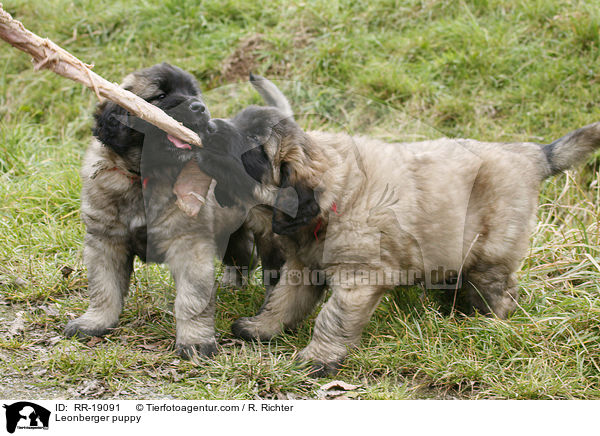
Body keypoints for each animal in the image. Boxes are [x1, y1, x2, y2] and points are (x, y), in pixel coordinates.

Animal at [62, 63, 282, 358]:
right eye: (161, 96)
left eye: (193, 93)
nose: (200, 107)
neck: (145, 176)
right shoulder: (105, 241)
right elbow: (104, 288)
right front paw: (95, 322)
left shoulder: (189, 244)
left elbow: (191, 299)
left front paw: (195, 341)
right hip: (230, 232)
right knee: (243, 257)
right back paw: (232, 284)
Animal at [191, 78, 600, 374]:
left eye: (253, 148)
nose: (206, 127)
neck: (335, 197)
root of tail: (531, 153)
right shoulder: (303, 265)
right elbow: (283, 300)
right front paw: (262, 328)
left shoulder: (358, 279)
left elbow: (332, 319)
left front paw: (317, 358)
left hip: (492, 249)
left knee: (499, 291)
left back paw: (486, 323)